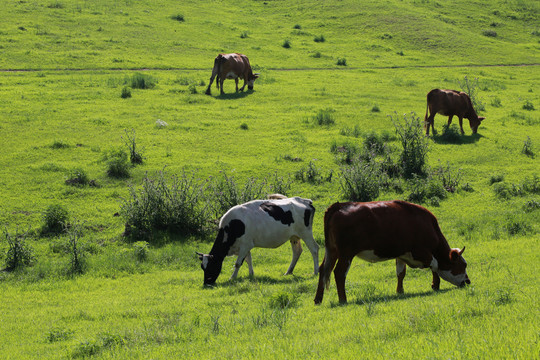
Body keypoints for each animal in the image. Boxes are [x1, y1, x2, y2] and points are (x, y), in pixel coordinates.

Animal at [314, 200, 470, 304]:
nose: (468, 282)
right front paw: (435, 285)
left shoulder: (401, 254)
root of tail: (340, 205)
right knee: (339, 273)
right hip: (346, 254)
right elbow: (435, 265)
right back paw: (343, 299)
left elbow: (401, 273)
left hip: (331, 251)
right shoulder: (421, 253)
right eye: (462, 266)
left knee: (323, 269)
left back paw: (318, 299)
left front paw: (400, 291)